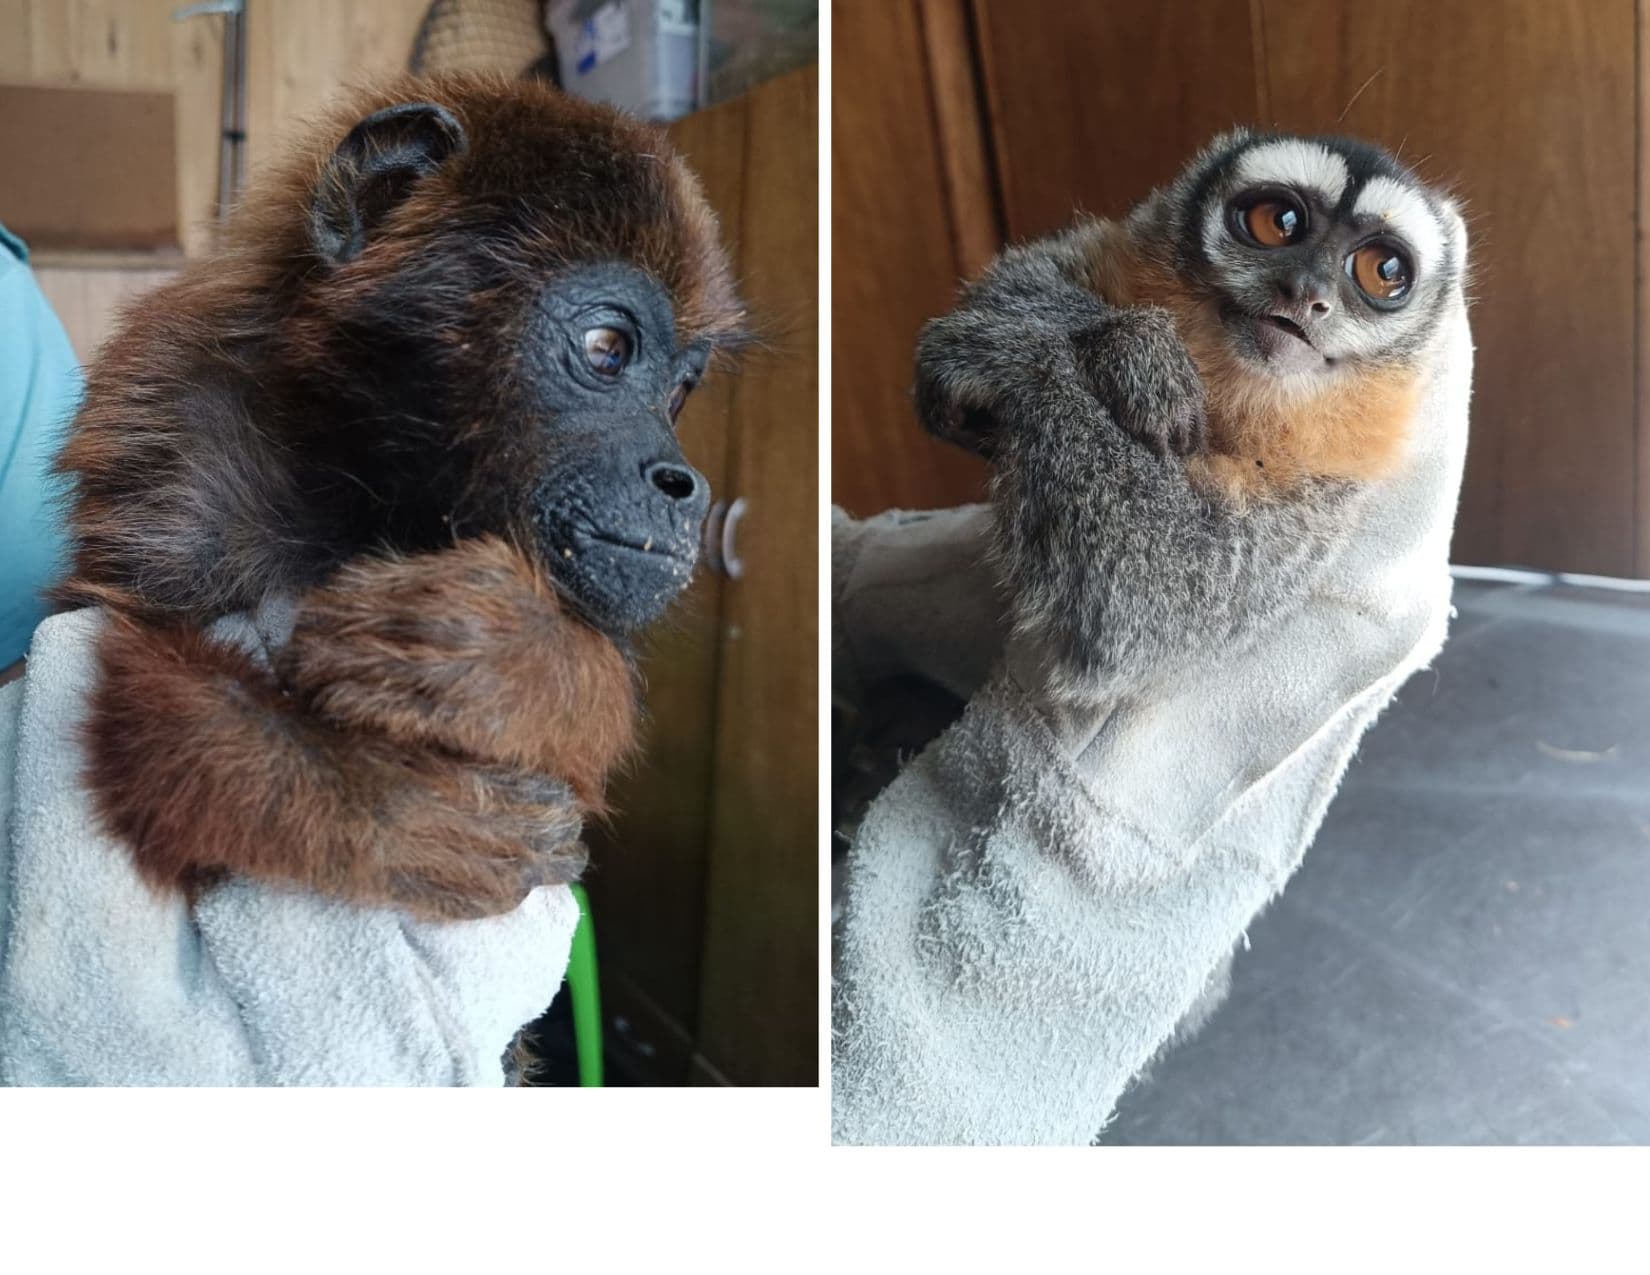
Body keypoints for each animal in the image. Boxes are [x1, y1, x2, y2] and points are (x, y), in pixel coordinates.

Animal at [50, 73, 746, 922]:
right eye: (606, 349)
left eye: (680, 392)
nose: (687, 485)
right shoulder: (176, 446)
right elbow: (142, 683)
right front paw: (388, 808)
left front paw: (511, 659)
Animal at [914, 129, 1470, 701]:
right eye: (1279, 221)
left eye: (1384, 272)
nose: (1305, 291)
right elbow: (1028, 270)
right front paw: (1140, 351)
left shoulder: (1331, 482)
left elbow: (1160, 590)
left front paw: (1028, 360)